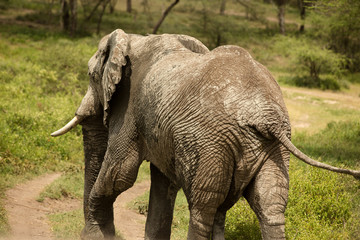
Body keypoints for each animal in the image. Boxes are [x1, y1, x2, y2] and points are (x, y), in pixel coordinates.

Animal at [51, 29, 360, 239]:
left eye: (91, 76)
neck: (135, 38)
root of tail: (264, 115)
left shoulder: (130, 107)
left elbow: (119, 174)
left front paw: (93, 236)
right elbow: (162, 184)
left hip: (210, 143)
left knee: (204, 206)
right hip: (271, 147)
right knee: (270, 205)